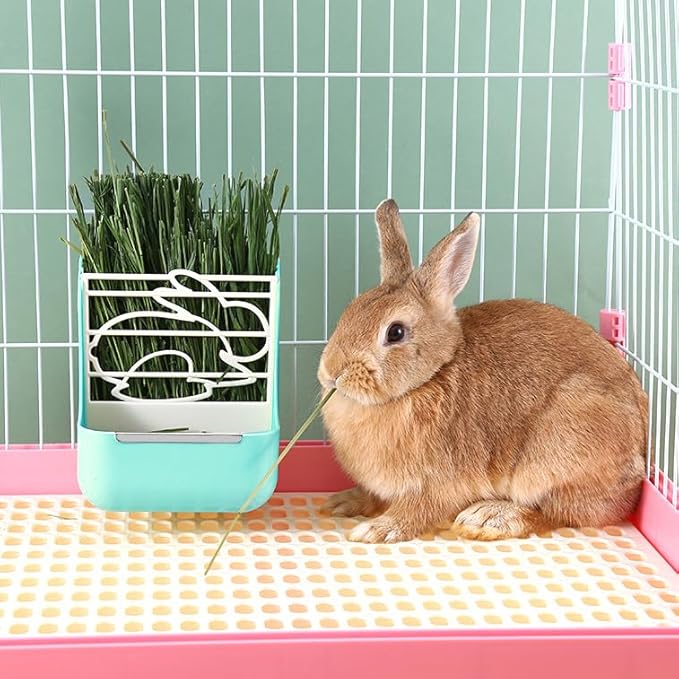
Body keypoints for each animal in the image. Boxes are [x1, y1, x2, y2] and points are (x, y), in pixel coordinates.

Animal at [317, 199, 647, 544]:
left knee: (561, 511)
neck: (430, 377)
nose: (331, 372)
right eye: (351, 310)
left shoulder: (440, 482)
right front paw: (344, 502)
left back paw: (489, 518)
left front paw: (377, 530)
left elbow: (418, 510)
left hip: (557, 452)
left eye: (395, 332)